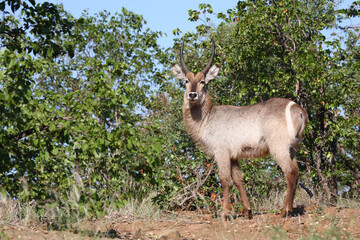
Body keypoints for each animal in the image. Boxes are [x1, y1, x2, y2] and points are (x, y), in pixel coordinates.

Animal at [172, 39, 306, 219]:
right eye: (186, 81)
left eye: (203, 81)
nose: (192, 95)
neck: (207, 118)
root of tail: (297, 108)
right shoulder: (234, 155)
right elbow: (238, 180)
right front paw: (248, 211)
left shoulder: (221, 152)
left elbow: (225, 180)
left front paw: (225, 213)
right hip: (292, 149)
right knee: (296, 172)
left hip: (279, 147)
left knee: (290, 173)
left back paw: (285, 211)